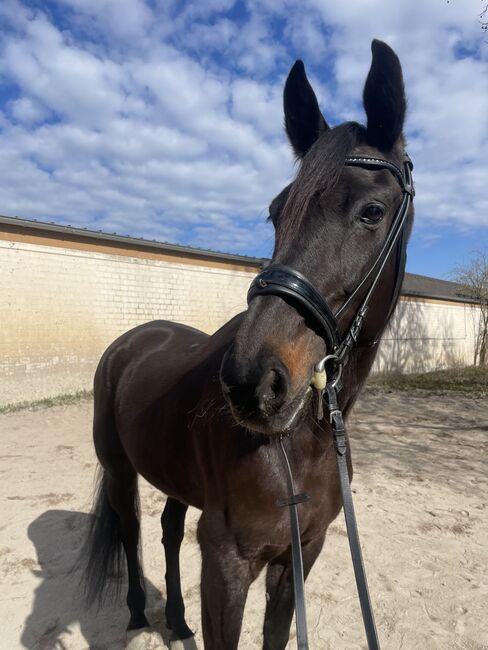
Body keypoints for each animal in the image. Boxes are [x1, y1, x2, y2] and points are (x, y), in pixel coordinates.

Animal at [81, 41, 416, 648]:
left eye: (372, 212)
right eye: (276, 212)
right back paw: (140, 614)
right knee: (129, 530)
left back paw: (176, 621)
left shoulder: (298, 556)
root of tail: (132, 339)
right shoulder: (227, 565)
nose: (250, 384)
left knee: (167, 530)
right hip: (118, 469)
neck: (297, 445)